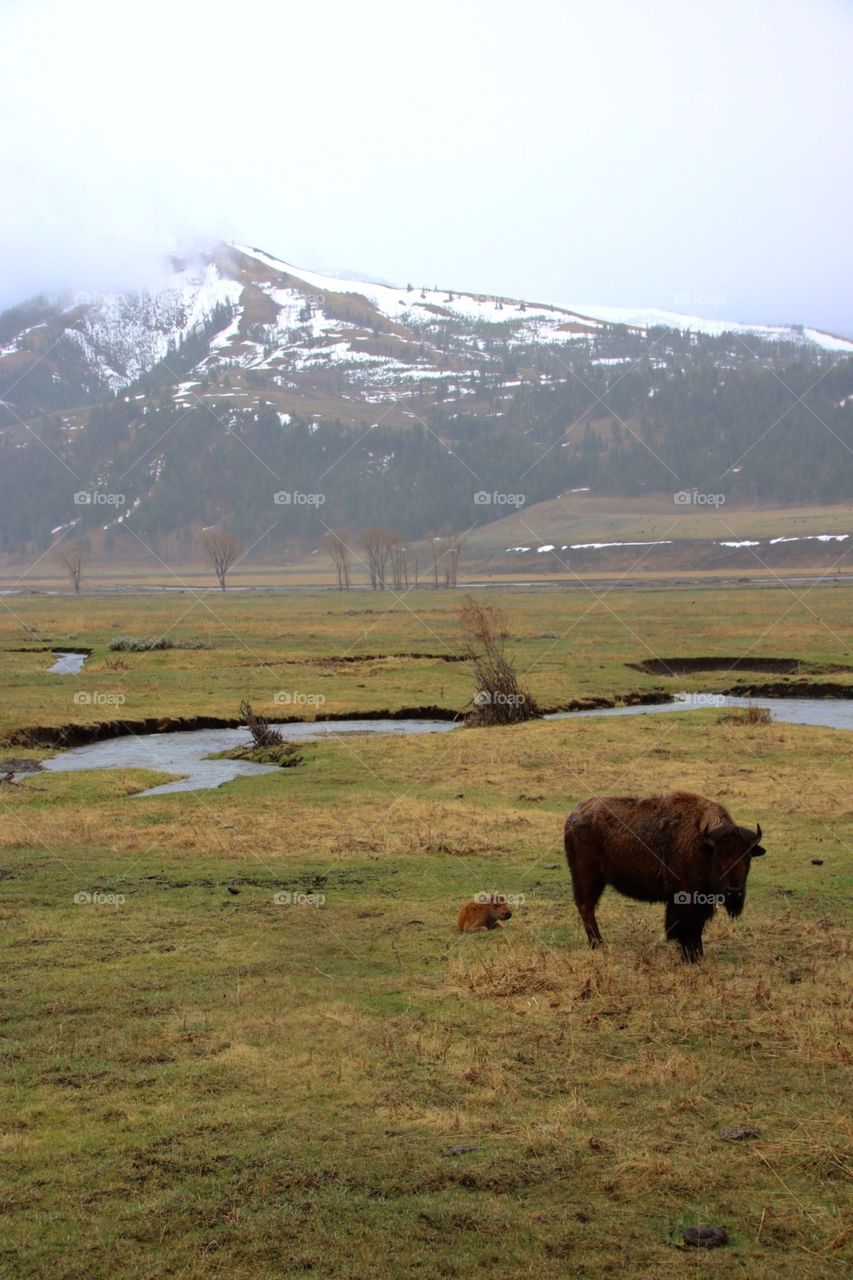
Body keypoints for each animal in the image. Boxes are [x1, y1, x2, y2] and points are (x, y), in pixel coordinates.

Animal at [563, 788, 763, 962]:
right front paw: (690, 957)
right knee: (586, 907)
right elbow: (687, 927)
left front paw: (697, 955)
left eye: (747, 857)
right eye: (717, 856)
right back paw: (598, 944)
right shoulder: (685, 899)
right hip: (588, 877)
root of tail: (573, 816)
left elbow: (697, 927)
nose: (734, 890)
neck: (702, 844)